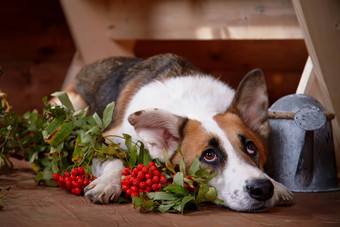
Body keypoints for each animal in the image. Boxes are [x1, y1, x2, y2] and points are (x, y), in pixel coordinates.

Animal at [54, 53, 294, 213]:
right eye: (209, 155)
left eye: (251, 147)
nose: (263, 190)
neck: (198, 107)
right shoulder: (100, 142)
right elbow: (116, 160)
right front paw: (107, 182)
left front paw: (278, 185)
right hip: (70, 104)